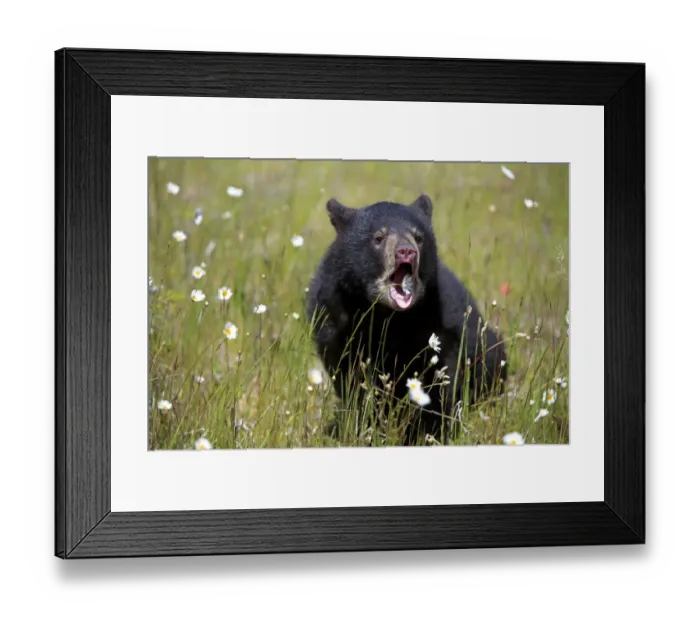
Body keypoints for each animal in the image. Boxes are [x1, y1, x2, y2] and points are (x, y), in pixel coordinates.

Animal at [305, 194, 506, 446]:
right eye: (379, 237)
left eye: (418, 237)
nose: (406, 252)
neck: (387, 317)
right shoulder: (334, 321)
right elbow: (352, 382)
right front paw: (364, 428)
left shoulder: (438, 326)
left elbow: (439, 382)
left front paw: (428, 433)